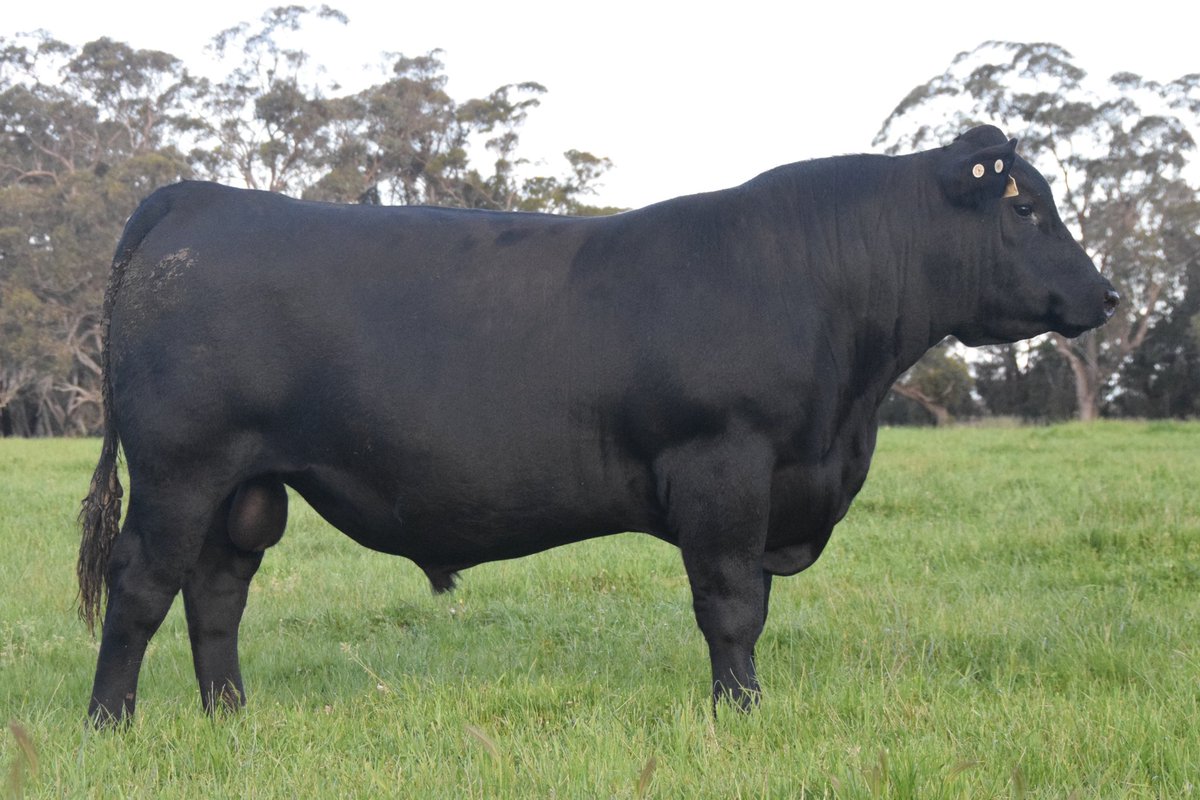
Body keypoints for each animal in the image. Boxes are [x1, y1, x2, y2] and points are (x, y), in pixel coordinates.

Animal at [78, 125, 1117, 724]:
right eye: (1026, 207)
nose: (1106, 294)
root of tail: (201, 197)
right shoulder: (725, 463)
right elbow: (730, 605)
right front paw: (741, 718)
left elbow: (751, 605)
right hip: (182, 467)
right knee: (141, 585)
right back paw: (111, 723)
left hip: (247, 485)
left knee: (216, 592)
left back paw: (230, 718)